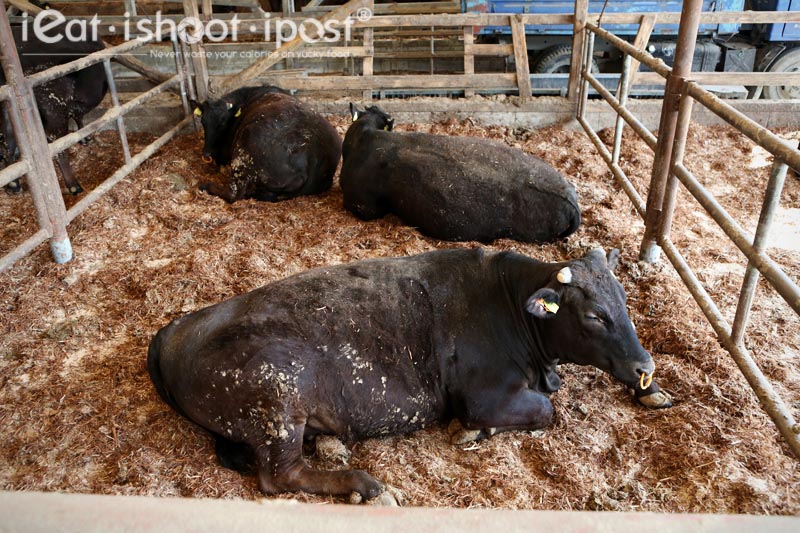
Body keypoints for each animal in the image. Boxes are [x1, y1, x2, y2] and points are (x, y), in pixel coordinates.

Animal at [1, 24, 108, 195]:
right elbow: (79, 117)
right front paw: (86, 138)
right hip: (54, 109)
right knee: (58, 146)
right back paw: (74, 185)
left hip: (9, 112)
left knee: (8, 143)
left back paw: (13, 185)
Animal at [148, 247, 668, 504]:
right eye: (594, 317)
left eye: (624, 301)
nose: (643, 364)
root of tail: (173, 329)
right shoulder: (483, 397)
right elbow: (545, 411)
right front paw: (477, 433)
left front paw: (652, 388)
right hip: (278, 397)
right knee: (280, 475)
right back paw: (362, 485)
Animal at [191, 86, 340, 203]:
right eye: (203, 122)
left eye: (222, 122)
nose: (206, 153)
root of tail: (312, 152)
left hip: (243, 155)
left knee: (234, 194)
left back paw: (206, 186)